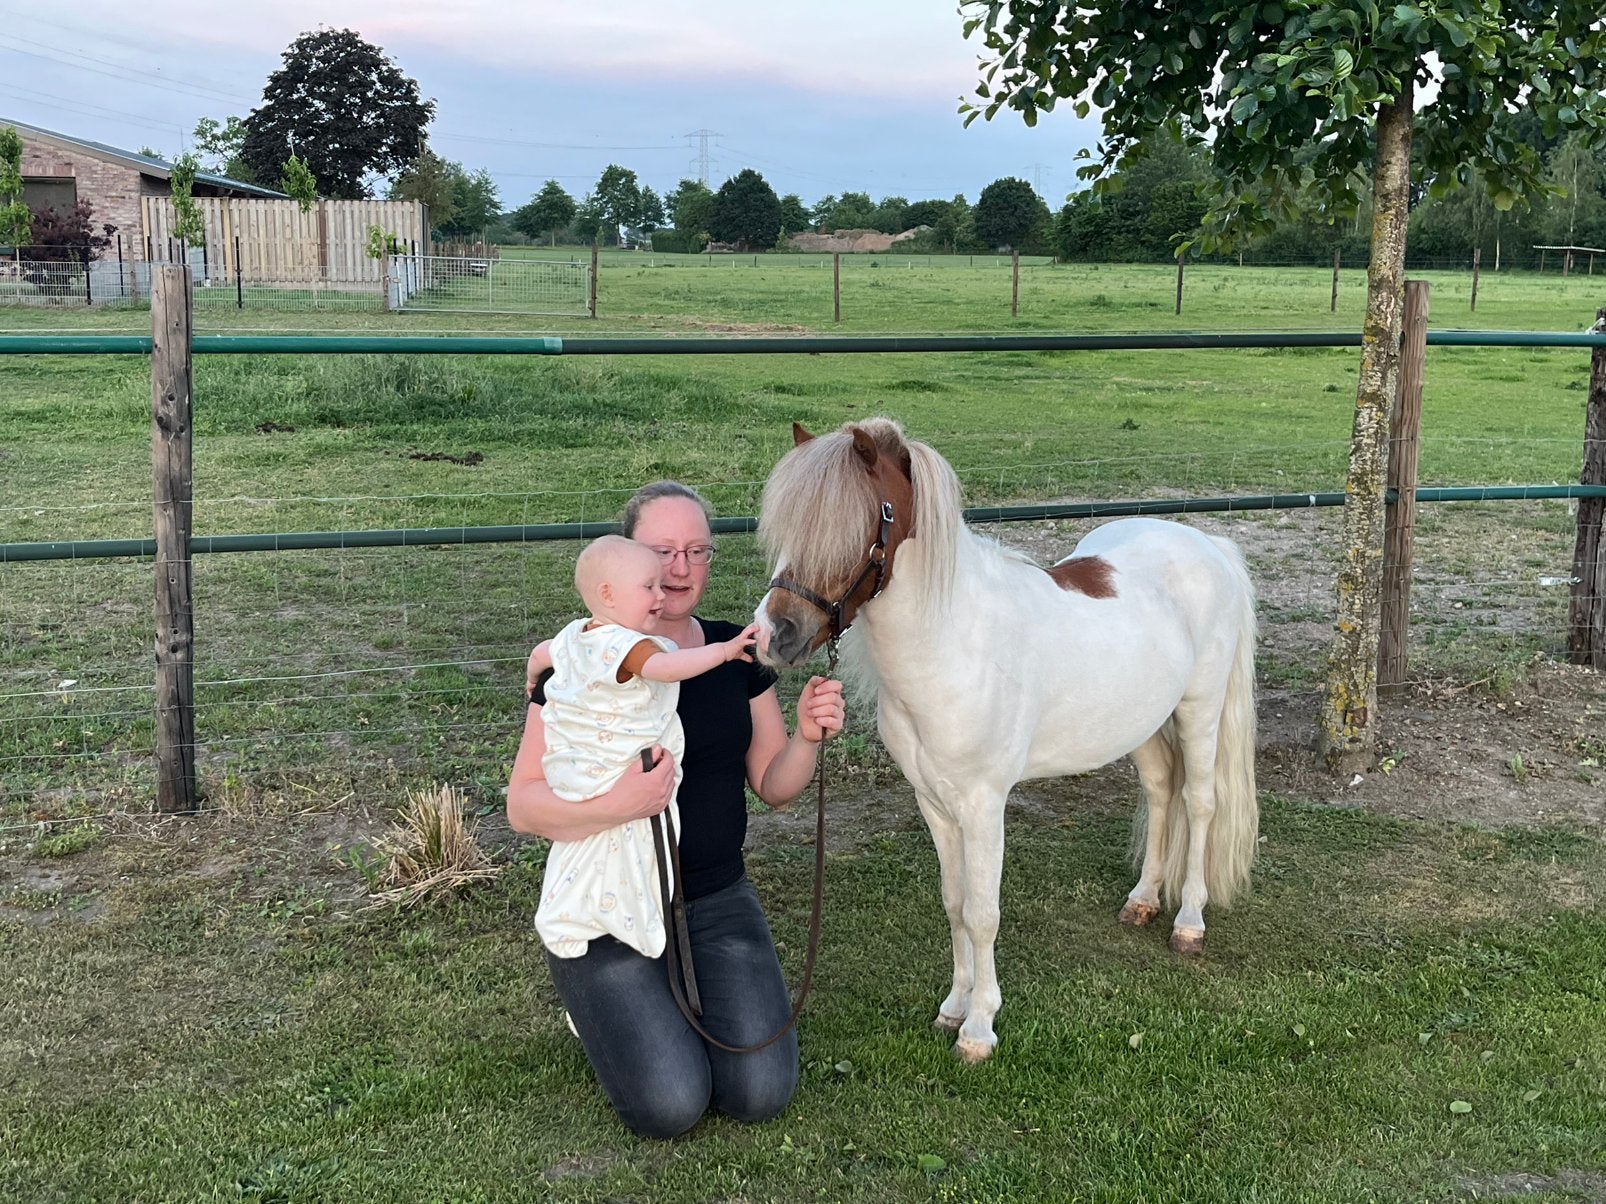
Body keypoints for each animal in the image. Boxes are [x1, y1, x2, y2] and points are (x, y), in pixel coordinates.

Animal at [753, 419, 1259, 1063]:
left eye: (864, 521)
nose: (773, 635)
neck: (954, 645)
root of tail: (1209, 545)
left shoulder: (983, 804)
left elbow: (982, 913)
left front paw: (978, 1028)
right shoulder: (933, 803)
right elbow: (954, 903)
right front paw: (952, 1007)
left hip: (1200, 710)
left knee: (1199, 804)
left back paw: (1189, 923)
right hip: (1141, 724)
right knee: (1162, 792)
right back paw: (1142, 901)